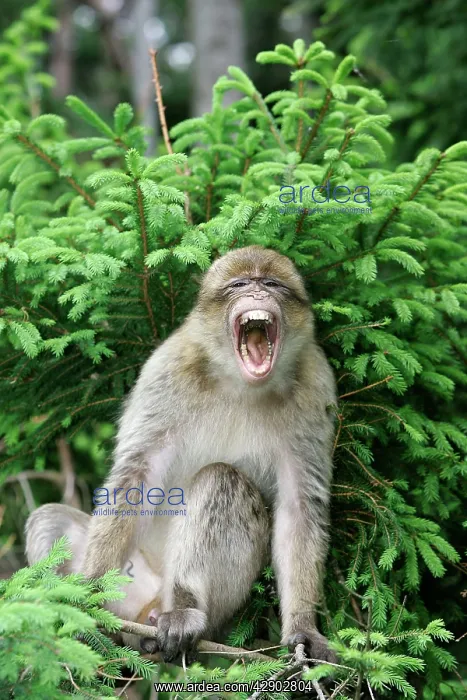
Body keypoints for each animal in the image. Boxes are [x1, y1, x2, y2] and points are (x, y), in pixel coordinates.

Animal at [26, 245, 337, 662]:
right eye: (240, 284)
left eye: (272, 284)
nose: (257, 293)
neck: (240, 383)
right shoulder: (168, 368)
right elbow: (138, 476)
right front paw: (87, 592)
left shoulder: (316, 386)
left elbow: (299, 506)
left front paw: (303, 627)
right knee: (49, 519)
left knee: (222, 479)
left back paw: (184, 611)